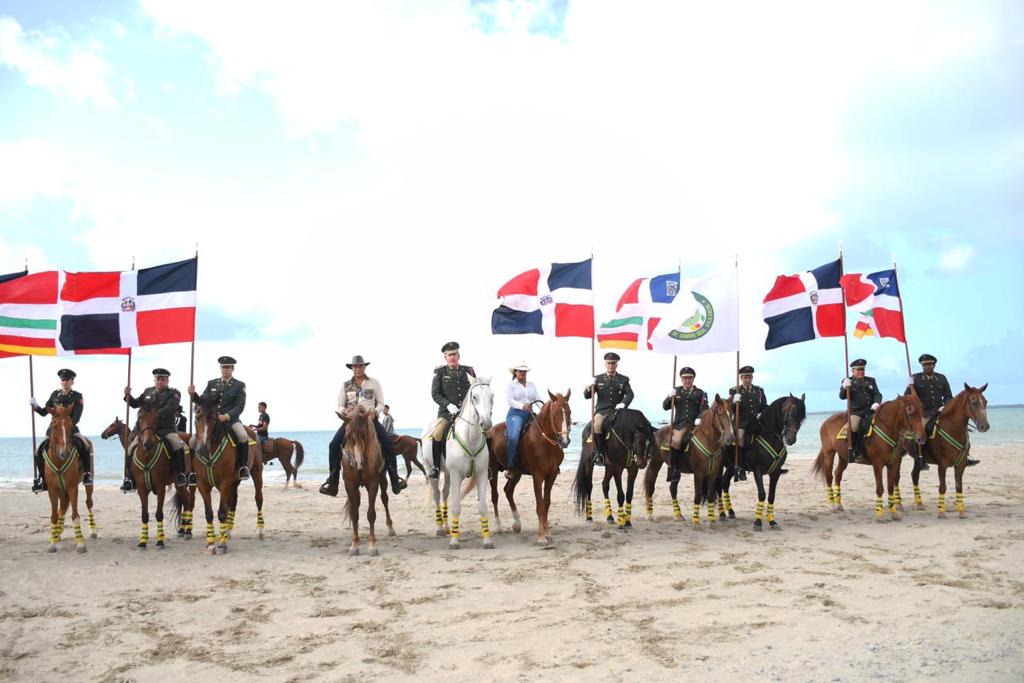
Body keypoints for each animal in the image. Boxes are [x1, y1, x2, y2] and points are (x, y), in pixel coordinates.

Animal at [41, 409, 87, 552]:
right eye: (54, 426)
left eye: (71, 427)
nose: (65, 454)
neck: (59, 462)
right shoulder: (52, 490)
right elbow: (54, 515)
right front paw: (52, 543)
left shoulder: (72, 488)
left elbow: (75, 514)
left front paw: (80, 543)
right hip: (61, 490)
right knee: (61, 509)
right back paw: (57, 533)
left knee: (89, 503)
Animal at [339, 405, 395, 557]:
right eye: (347, 436)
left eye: (364, 435)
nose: (358, 463)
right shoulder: (350, 485)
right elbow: (354, 513)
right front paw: (354, 544)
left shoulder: (373, 483)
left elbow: (371, 514)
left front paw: (372, 545)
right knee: (357, 505)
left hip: (383, 478)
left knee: (385, 499)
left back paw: (390, 528)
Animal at [419, 376, 491, 552]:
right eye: (474, 397)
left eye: (492, 396)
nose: (486, 423)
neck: (470, 439)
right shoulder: (457, 474)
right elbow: (457, 506)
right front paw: (454, 541)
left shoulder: (481, 474)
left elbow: (483, 507)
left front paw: (487, 540)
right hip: (432, 470)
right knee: (437, 495)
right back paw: (440, 528)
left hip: (448, 473)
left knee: (445, 493)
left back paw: (446, 527)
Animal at [483, 393, 573, 548]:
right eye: (555, 414)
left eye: (569, 412)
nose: (565, 440)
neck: (544, 441)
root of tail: (491, 431)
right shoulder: (537, 476)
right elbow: (540, 505)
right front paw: (541, 537)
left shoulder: (551, 476)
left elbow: (546, 504)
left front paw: (547, 534)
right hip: (493, 470)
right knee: (495, 496)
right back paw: (499, 527)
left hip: (516, 473)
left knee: (508, 491)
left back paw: (517, 524)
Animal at [909, 385, 987, 518]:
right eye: (974, 402)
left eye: (985, 402)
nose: (985, 426)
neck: (953, 428)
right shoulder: (942, 465)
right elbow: (942, 487)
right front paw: (941, 512)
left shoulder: (960, 465)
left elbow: (959, 486)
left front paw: (961, 511)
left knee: (914, 475)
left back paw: (919, 503)